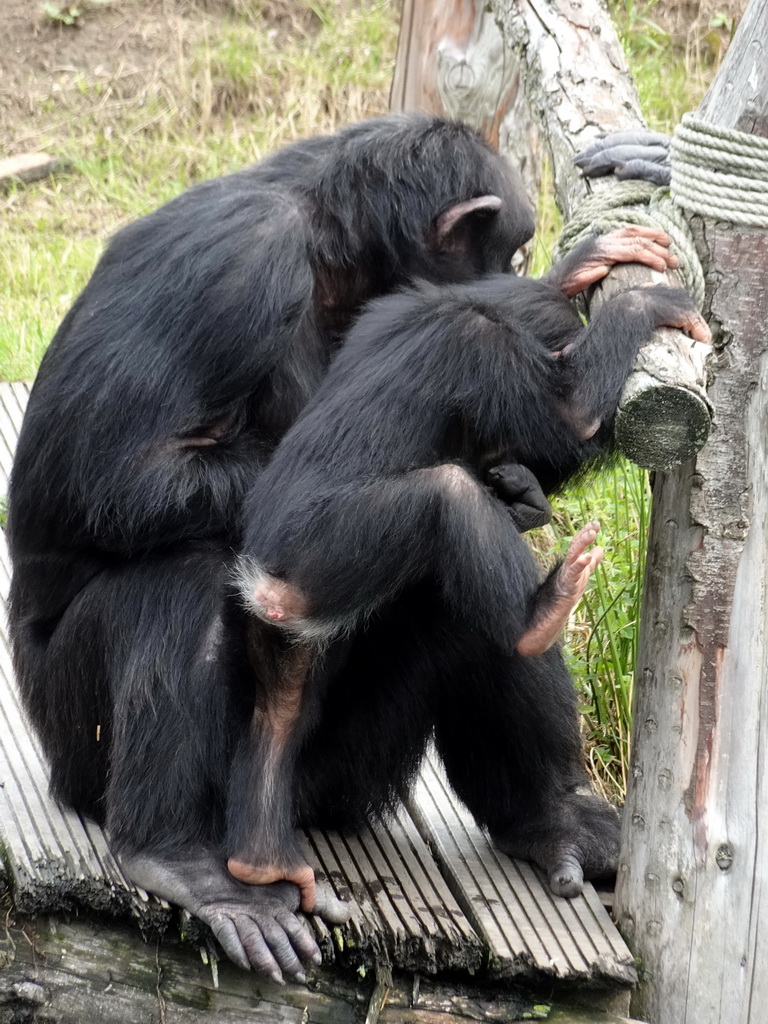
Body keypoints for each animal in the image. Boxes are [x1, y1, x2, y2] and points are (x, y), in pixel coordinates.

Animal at [4, 110, 696, 983]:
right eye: (507, 248)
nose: (519, 268)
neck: (336, 254)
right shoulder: (237, 260)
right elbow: (102, 472)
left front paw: (583, 272)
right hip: (81, 744)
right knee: (183, 575)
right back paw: (182, 861)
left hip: (343, 774)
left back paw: (549, 818)